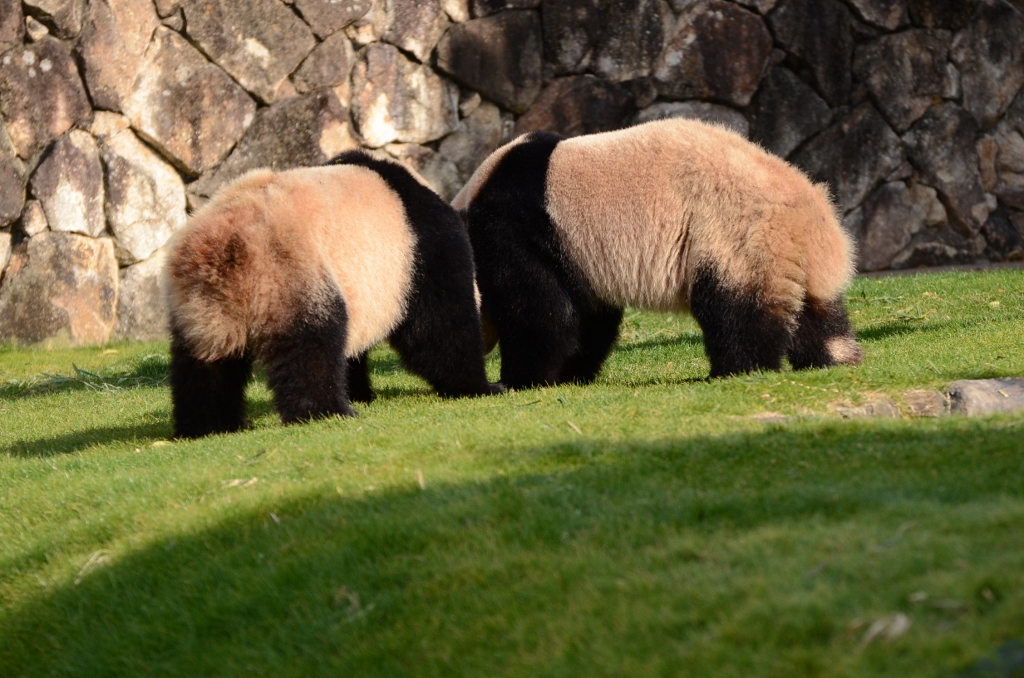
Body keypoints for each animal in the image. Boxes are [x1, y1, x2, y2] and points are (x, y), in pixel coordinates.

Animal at [164, 150, 503, 440]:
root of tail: (224, 241)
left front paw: (361, 392)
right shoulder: (421, 249)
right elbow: (437, 328)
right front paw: (481, 386)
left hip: (200, 302)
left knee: (204, 364)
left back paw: (209, 425)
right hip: (290, 270)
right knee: (310, 348)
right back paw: (328, 411)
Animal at [456, 119, 864, 391]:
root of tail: (808, 212)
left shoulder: (515, 224)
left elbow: (541, 315)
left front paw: (518, 380)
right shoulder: (573, 250)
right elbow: (588, 317)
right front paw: (571, 374)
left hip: (732, 232)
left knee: (735, 309)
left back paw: (736, 369)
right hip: (782, 254)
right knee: (812, 312)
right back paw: (834, 357)